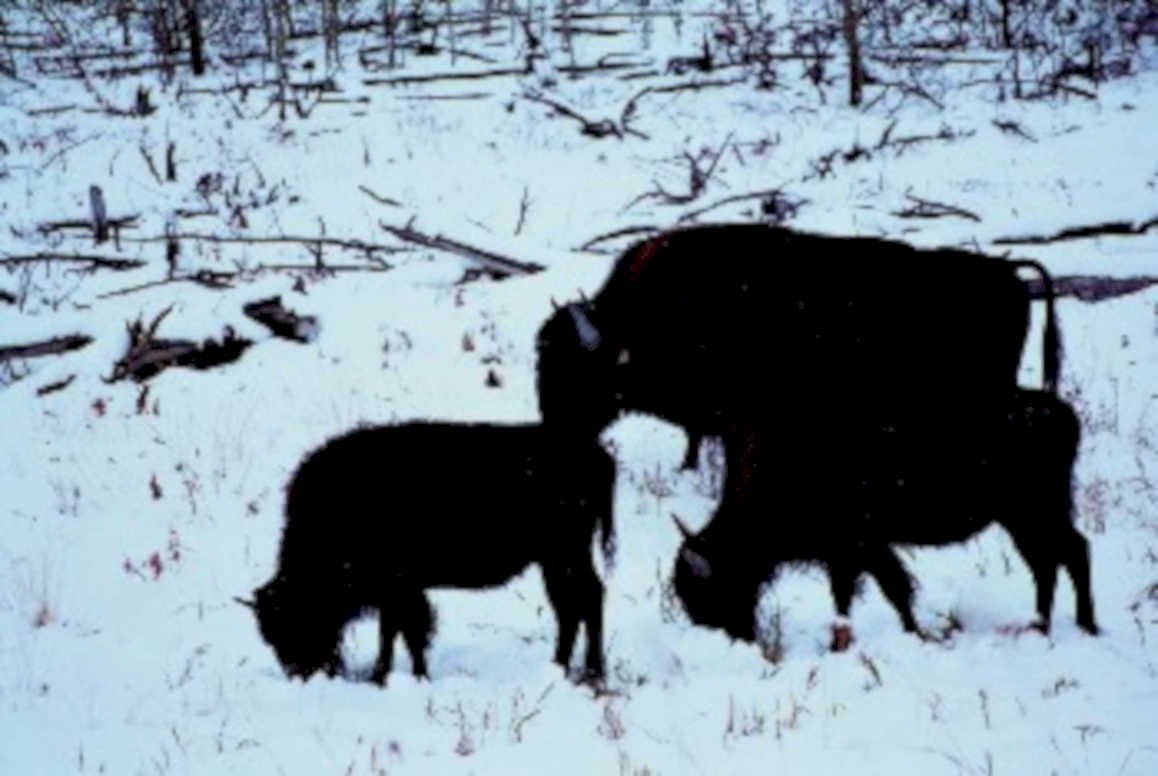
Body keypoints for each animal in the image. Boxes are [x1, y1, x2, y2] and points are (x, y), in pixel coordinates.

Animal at [243, 423, 615, 685]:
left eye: (297, 619)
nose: (303, 673)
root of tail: (597, 455)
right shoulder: (396, 591)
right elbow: (397, 631)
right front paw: (390, 675)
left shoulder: (398, 588)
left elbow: (407, 631)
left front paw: (401, 677)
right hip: (555, 560)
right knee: (572, 607)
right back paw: (561, 668)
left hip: (565, 556)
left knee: (586, 600)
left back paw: (590, 673)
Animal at [672, 390, 1098, 647]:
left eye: (709, 591)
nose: (734, 638)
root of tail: (1060, 411)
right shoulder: (858, 551)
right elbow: (885, 591)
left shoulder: (855, 548)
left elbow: (878, 592)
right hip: (1021, 519)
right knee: (1048, 563)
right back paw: (1040, 626)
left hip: (1034, 513)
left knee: (1072, 552)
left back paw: (1084, 626)